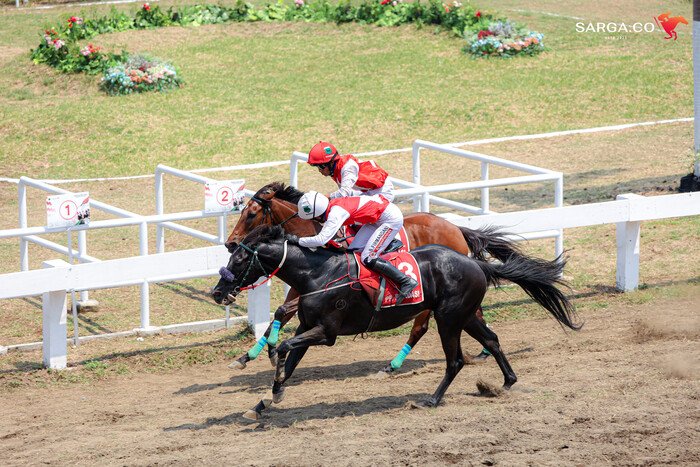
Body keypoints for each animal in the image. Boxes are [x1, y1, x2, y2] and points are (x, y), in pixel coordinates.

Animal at [211, 224, 579, 419]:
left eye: (240, 258)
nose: (217, 292)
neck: (318, 273)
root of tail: (478, 264)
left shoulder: (326, 332)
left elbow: (285, 348)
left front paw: (272, 371)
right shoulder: (307, 327)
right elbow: (290, 362)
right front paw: (264, 401)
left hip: (449, 318)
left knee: (455, 360)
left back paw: (431, 399)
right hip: (464, 316)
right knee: (492, 340)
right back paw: (505, 383)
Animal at [224, 182, 551, 373]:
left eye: (251, 213)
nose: (230, 243)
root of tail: (456, 228)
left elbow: (285, 312)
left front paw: (266, 352)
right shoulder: (303, 287)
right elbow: (282, 311)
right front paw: (250, 355)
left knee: (422, 326)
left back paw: (397, 362)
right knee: (470, 314)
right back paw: (480, 350)